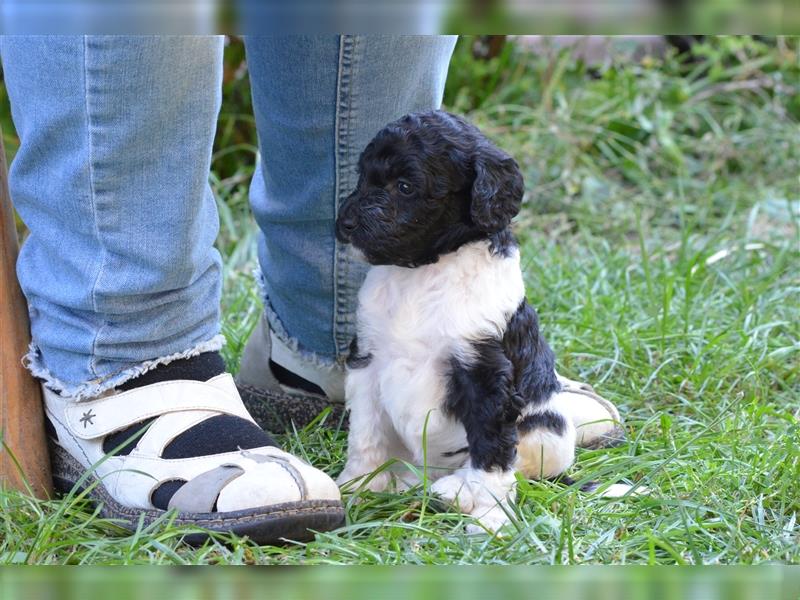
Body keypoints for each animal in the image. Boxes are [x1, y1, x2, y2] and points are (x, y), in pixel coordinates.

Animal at [334, 110, 620, 532]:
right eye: (362, 176)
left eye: (405, 186)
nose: (345, 223)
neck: (424, 272)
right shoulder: (368, 362)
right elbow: (366, 433)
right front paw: (359, 484)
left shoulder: (486, 374)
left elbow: (493, 451)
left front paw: (490, 517)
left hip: (547, 428)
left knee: (523, 469)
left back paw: (455, 490)